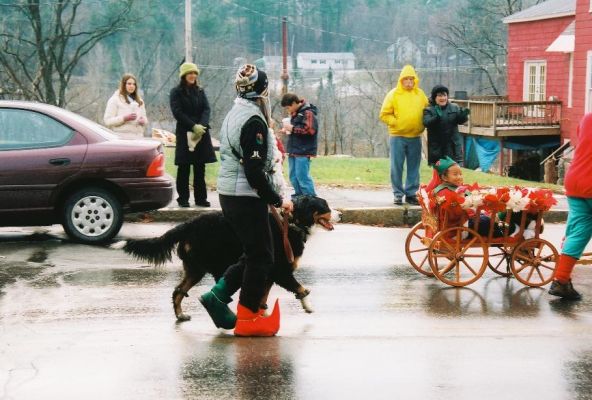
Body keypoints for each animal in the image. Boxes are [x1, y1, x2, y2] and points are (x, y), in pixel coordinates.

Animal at [113, 196, 336, 322]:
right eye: (325, 206)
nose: (339, 214)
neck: (288, 224)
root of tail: (188, 224)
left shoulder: (269, 274)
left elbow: (262, 297)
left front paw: (261, 315)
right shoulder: (280, 271)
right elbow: (300, 288)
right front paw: (307, 305)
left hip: (195, 268)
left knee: (178, 291)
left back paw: (181, 315)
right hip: (217, 265)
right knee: (217, 290)